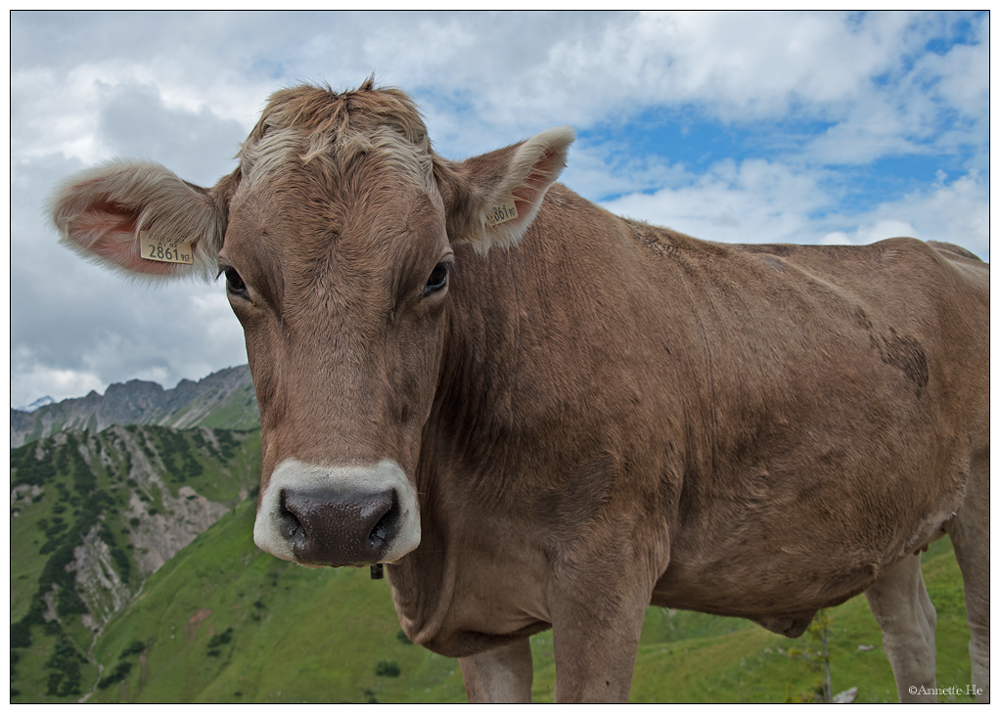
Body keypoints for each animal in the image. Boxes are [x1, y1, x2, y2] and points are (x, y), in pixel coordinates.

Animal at [52, 79, 984, 700]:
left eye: (438, 271)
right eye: (236, 278)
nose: (337, 516)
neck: (455, 514)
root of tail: (942, 248)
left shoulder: (607, 579)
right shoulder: (481, 624)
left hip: (977, 510)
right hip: (884, 527)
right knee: (913, 636)